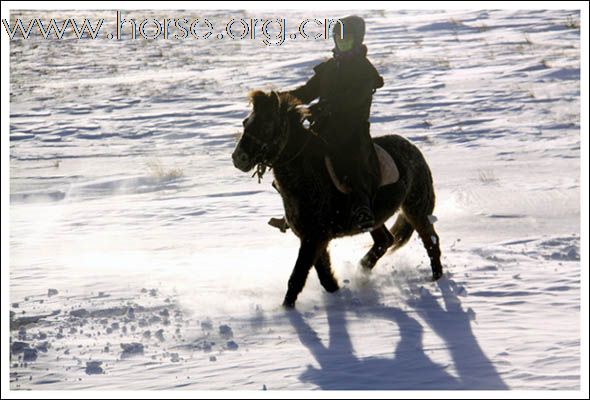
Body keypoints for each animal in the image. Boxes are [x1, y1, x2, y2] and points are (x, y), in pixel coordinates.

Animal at [232, 90, 444, 308]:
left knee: (431, 241)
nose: (238, 158)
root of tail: (413, 149)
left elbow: (297, 276)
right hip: (376, 219)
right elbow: (324, 275)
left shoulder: (314, 237)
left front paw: (287, 310)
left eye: (267, 125)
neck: (307, 176)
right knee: (385, 240)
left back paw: (436, 279)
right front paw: (336, 295)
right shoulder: (314, 238)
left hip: (417, 209)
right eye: (246, 122)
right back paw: (362, 269)